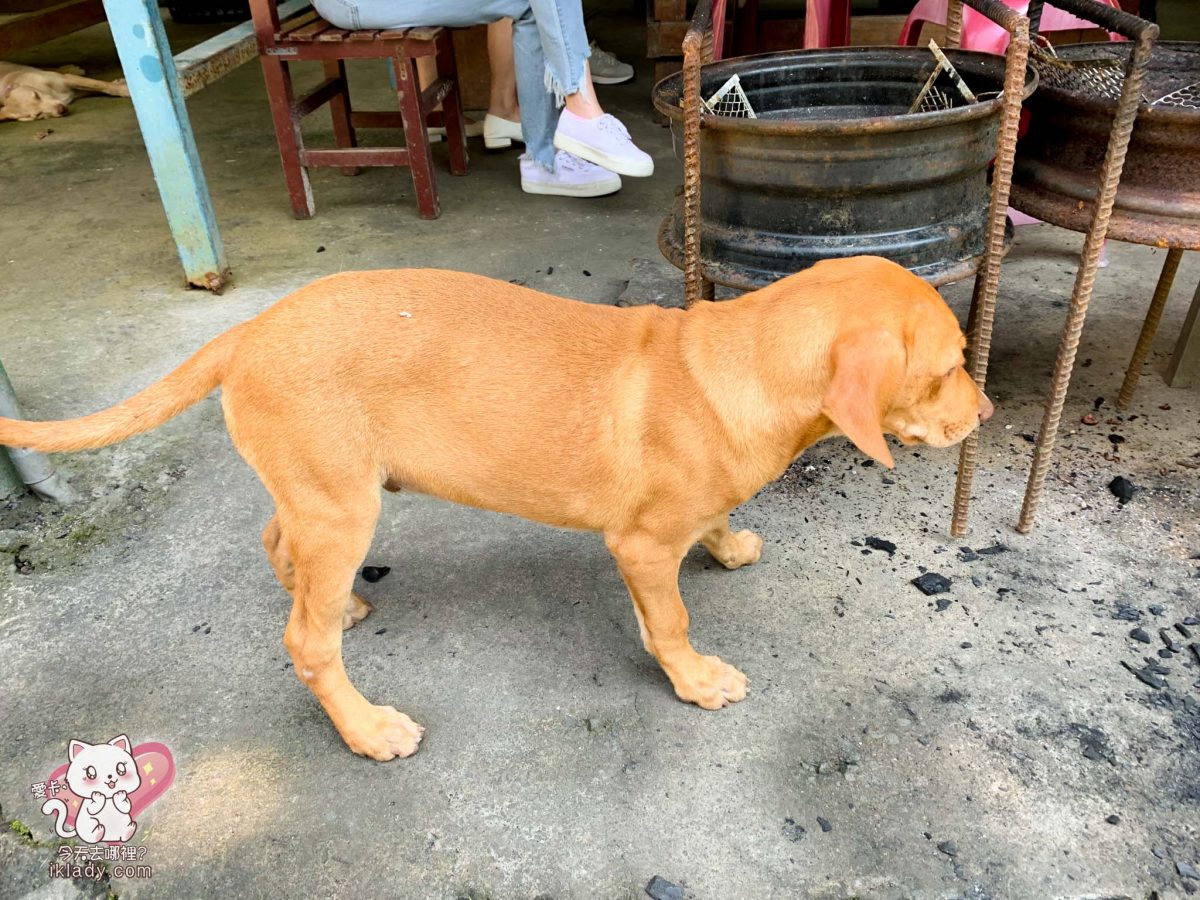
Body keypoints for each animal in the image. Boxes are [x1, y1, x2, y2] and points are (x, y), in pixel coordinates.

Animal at [0, 62, 130, 122]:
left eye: (36, 95)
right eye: (38, 115)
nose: (61, 109)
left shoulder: (68, 79)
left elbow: (98, 84)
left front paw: (124, 89)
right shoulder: (74, 90)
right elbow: (97, 87)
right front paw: (120, 85)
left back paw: (70, 68)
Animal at [0, 254, 993, 763]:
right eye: (950, 366)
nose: (986, 414)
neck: (739, 362)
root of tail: (249, 329)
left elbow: (710, 527)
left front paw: (729, 543)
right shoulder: (639, 547)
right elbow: (669, 620)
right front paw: (695, 679)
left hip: (325, 494)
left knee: (277, 539)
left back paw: (340, 601)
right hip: (342, 508)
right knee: (303, 643)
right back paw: (365, 727)